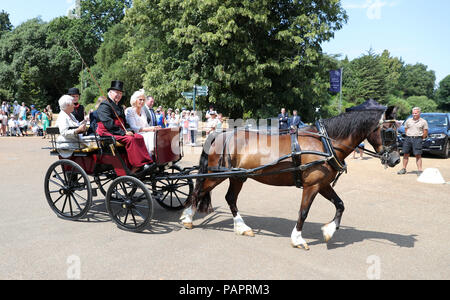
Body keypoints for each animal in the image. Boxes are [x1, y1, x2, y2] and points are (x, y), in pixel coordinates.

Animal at [181, 105, 400, 251]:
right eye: (389, 131)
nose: (396, 159)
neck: (325, 142)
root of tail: (220, 134)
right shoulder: (311, 186)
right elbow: (303, 211)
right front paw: (298, 238)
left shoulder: (322, 184)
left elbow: (340, 204)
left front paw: (329, 231)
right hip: (215, 175)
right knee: (199, 191)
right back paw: (187, 218)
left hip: (238, 177)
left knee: (230, 198)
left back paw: (242, 227)